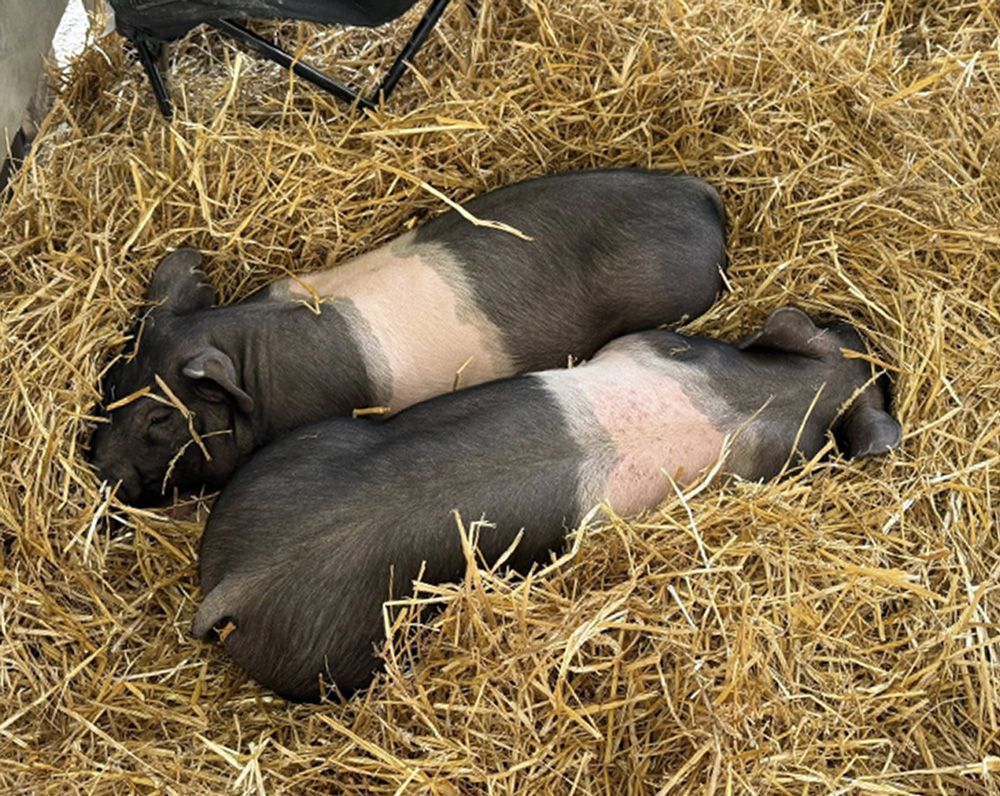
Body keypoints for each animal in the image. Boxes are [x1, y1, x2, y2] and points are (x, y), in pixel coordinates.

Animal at [192, 307, 902, 701]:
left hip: (287, 460)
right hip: (343, 650)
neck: (785, 393)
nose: (857, 324)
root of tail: (237, 584)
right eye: (850, 341)